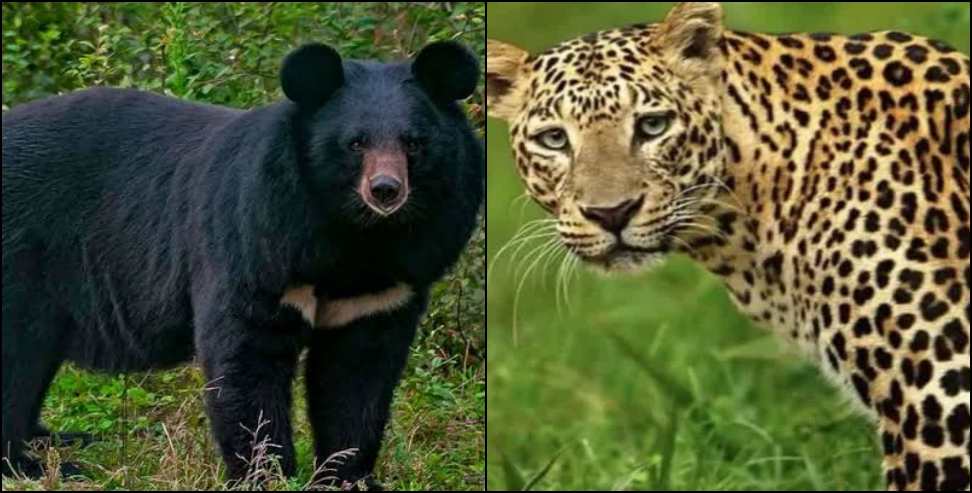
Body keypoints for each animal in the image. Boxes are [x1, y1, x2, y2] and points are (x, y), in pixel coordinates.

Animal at [1, 40, 483, 488]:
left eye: (414, 143)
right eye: (356, 142)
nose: (385, 190)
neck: (355, 236)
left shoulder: (388, 284)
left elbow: (358, 375)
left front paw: (348, 476)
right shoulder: (258, 242)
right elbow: (247, 357)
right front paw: (266, 474)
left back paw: (56, 440)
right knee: (18, 358)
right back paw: (35, 462)